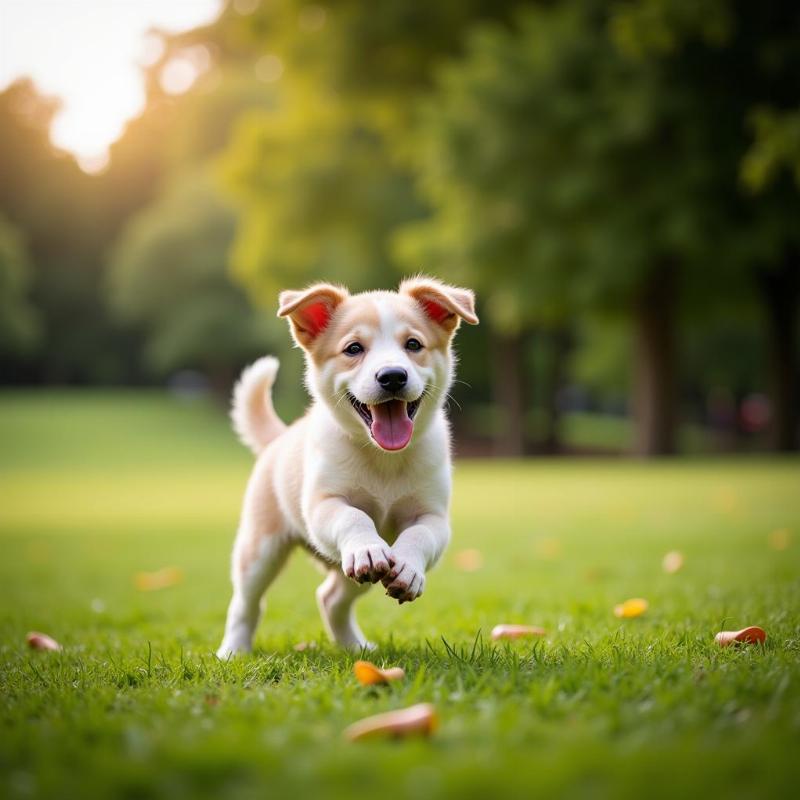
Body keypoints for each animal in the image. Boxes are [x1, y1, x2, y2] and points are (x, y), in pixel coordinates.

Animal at [216, 276, 478, 656]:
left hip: (352, 573)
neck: (383, 458)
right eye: (353, 349)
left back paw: (356, 647)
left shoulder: (434, 516)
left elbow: (420, 535)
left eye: (413, 344)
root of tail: (281, 437)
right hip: (260, 549)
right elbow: (354, 516)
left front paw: (409, 569)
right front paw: (368, 545)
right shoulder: (323, 505)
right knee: (246, 603)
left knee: (330, 598)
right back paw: (233, 650)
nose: (393, 376)